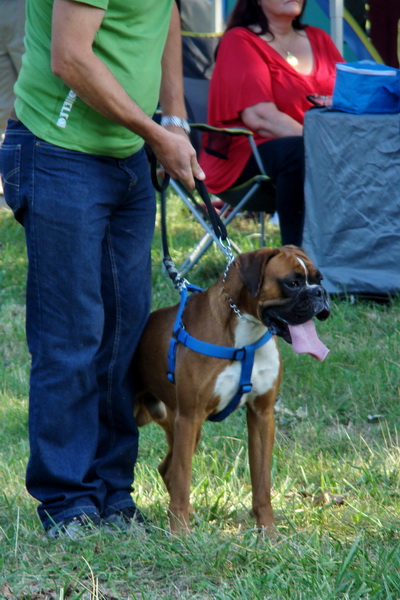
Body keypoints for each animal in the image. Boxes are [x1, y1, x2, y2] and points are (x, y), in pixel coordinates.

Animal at [134, 245, 332, 536]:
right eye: (293, 283)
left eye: (319, 280)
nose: (320, 293)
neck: (246, 334)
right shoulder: (190, 416)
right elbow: (183, 480)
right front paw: (180, 536)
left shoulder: (261, 415)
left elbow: (262, 484)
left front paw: (268, 533)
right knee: (173, 471)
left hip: (184, 429)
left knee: (166, 468)